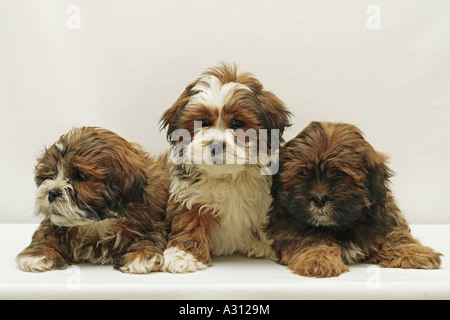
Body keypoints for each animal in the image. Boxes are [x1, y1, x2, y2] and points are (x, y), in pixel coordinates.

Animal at [16, 126, 170, 274]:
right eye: (50, 175)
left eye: (81, 175)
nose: (53, 192)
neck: (98, 222)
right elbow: (46, 232)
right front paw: (38, 253)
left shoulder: (150, 220)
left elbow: (150, 236)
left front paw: (140, 255)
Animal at [160, 62, 290, 272]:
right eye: (203, 122)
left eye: (237, 123)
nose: (216, 145)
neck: (226, 176)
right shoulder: (190, 195)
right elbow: (189, 221)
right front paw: (183, 255)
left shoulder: (264, 199)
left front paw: (263, 244)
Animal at [268, 121, 442, 276]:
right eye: (303, 173)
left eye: (338, 174)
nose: (319, 199)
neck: (341, 225)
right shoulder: (289, 228)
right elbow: (311, 240)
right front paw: (318, 259)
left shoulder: (384, 219)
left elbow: (395, 235)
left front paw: (415, 252)